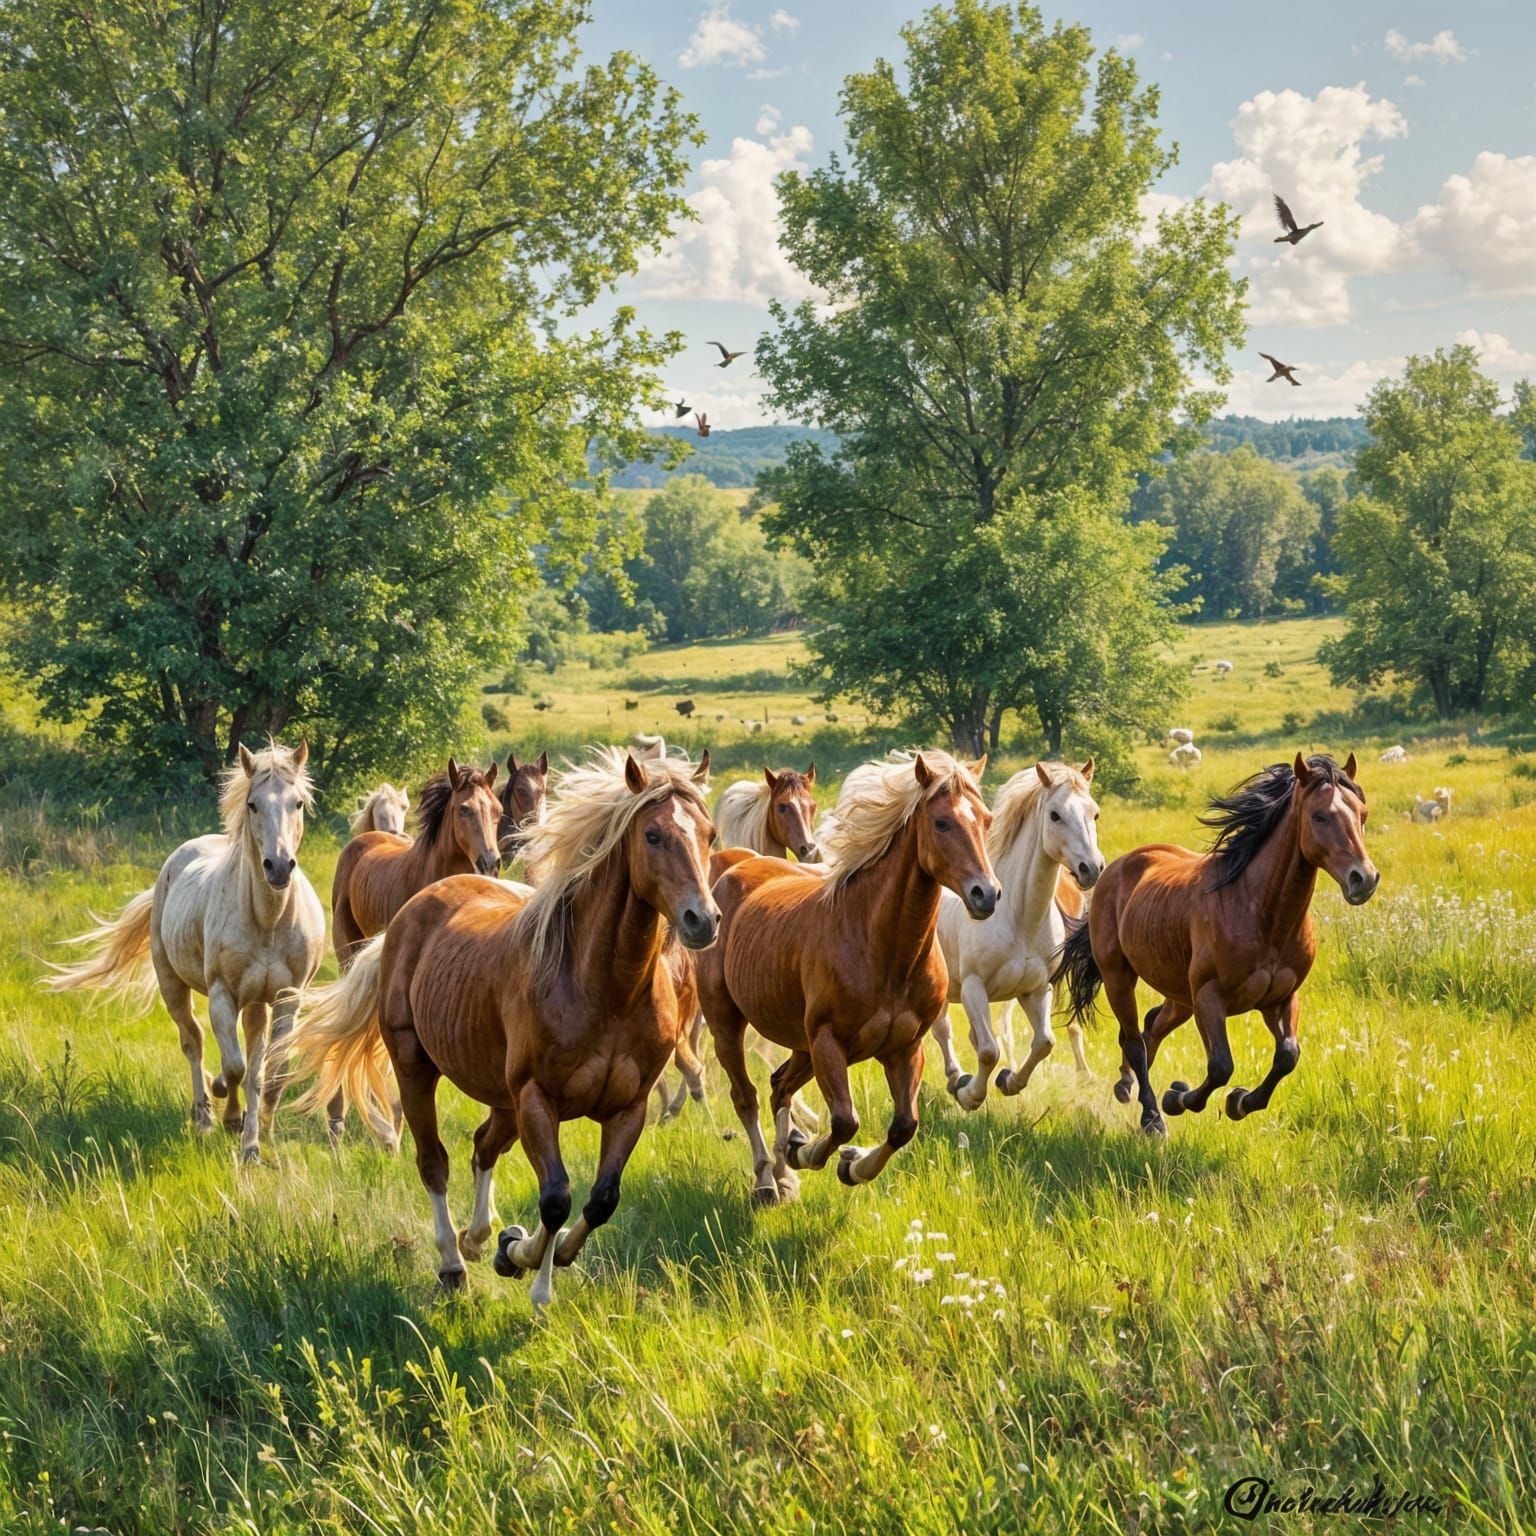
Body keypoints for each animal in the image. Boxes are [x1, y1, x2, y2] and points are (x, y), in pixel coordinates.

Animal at [44, 742, 325, 1162]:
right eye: (253, 804)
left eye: (299, 803)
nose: (278, 867)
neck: (268, 920)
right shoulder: (222, 995)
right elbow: (235, 1066)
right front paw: (229, 1110)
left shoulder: (288, 998)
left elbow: (269, 1071)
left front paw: (256, 1142)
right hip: (172, 984)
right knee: (193, 1041)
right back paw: (206, 1116)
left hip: (257, 1002)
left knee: (251, 1051)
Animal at [282, 748, 718, 1303]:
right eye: (653, 835)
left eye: (709, 834)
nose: (702, 920)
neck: (605, 990)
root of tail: (414, 909)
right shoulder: (536, 1098)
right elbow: (555, 1197)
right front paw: (533, 1275)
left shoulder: (628, 1107)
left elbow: (600, 1200)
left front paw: (519, 1249)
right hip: (417, 1067)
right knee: (434, 1162)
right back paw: (453, 1262)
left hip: (502, 1097)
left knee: (483, 1146)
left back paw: (479, 1236)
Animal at [696, 751, 999, 1206]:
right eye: (942, 822)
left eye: (986, 819)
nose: (987, 894)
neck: (883, 949)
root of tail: (733, 872)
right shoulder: (828, 1043)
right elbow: (843, 1121)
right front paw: (811, 1153)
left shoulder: (905, 1048)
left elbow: (904, 1125)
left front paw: (849, 1165)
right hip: (727, 1026)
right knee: (746, 1097)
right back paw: (768, 1180)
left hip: (800, 1044)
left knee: (779, 1086)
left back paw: (786, 1173)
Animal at [930, 761, 1103, 1110]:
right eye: (1055, 815)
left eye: (1094, 814)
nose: (1091, 868)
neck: (1019, 918)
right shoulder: (973, 989)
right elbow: (988, 1050)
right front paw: (970, 1095)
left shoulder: (1035, 990)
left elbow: (1044, 1042)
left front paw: (1009, 1081)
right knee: (943, 1030)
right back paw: (956, 1078)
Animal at [1052, 753, 1378, 1137]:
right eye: (1319, 816)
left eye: (1362, 814)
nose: (1364, 879)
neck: (1262, 914)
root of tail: (1112, 868)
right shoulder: (1209, 996)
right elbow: (1221, 1065)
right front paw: (1177, 1098)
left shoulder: (1281, 998)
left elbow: (1287, 1056)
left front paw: (1240, 1102)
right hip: (1120, 977)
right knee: (1134, 1041)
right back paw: (1151, 1117)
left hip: (1180, 996)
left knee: (1151, 1027)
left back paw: (1126, 1086)